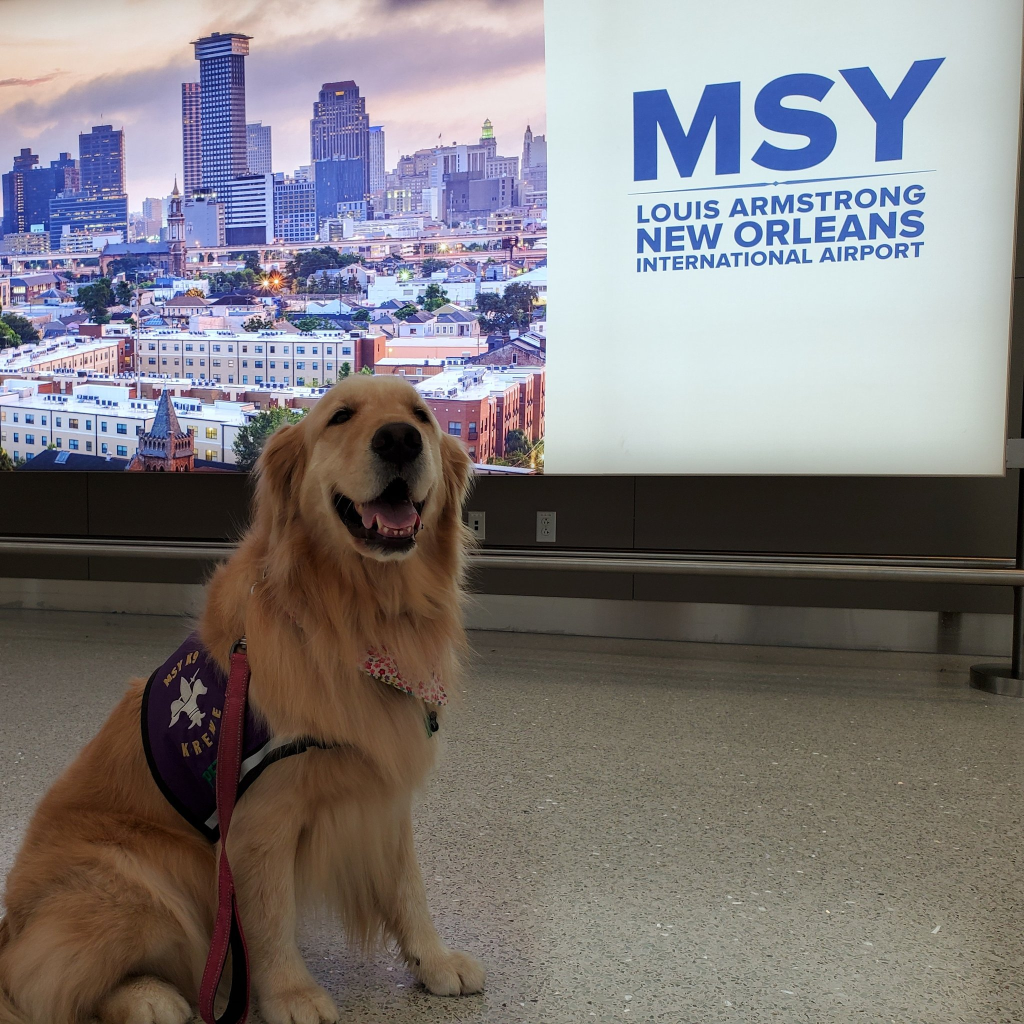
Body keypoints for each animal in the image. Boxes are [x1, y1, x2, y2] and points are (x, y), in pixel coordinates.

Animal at [0, 376, 483, 1024]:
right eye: (340, 416)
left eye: (422, 417)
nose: (400, 440)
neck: (353, 617)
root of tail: (10, 926)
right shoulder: (259, 818)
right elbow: (270, 916)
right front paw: (291, 994)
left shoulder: (382, 791)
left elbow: (409, 889)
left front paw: (433, 960)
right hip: (138, 875)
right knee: (44, 987)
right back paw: (151, 996)